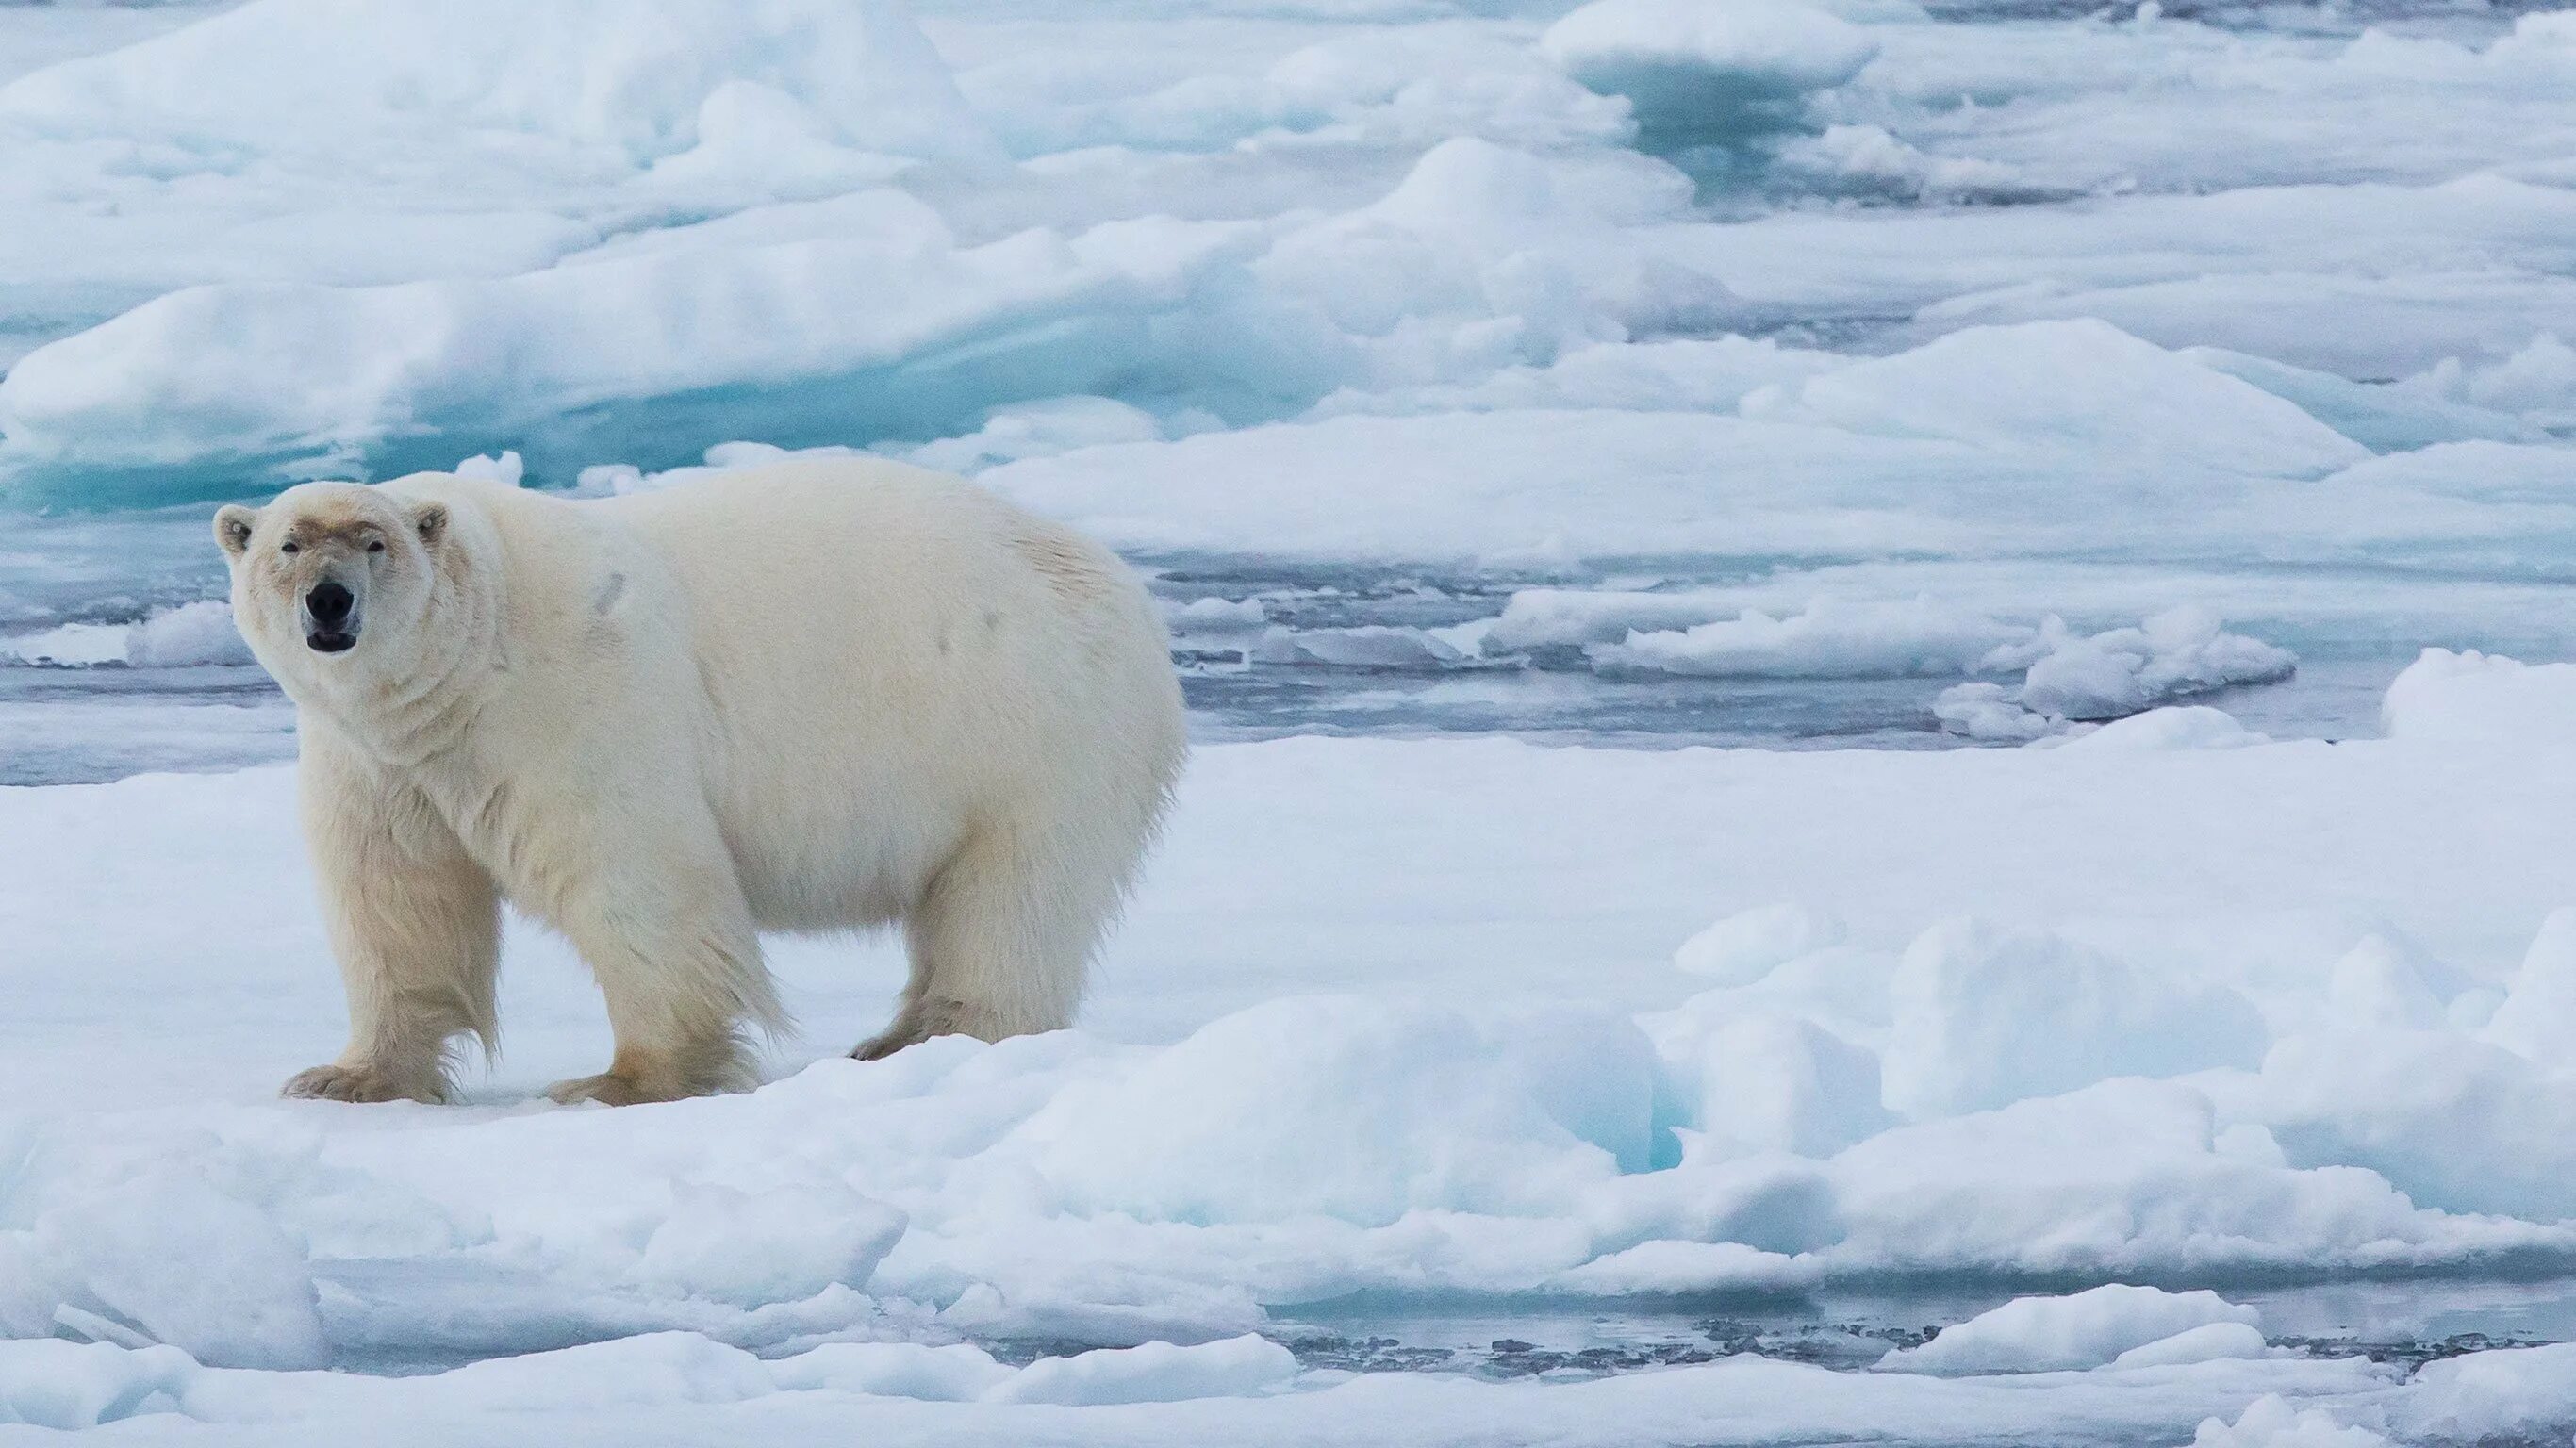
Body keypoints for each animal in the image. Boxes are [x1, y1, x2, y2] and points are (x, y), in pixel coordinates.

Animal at [221, 455, 1184, 1097]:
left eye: (373, 541)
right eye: (288, 543)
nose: (330, 602)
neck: (473, 654)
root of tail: (1124, 589)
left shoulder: (571, 706)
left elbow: (635, 881)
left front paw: (622, 1081)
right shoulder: (379, 761)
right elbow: (396, 900)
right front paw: (345, 1076)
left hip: (1031, 734)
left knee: (1011, 897)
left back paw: (938, 1035)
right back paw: (894, 1037)